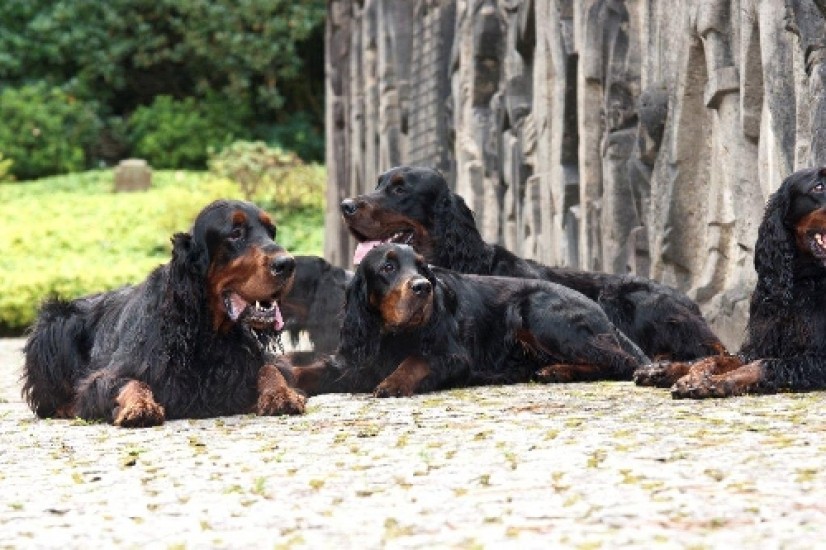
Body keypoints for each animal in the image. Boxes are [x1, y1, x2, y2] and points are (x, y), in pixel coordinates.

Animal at [22, 199, 306, 426]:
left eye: (272, 232)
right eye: (235, 233)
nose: (288, 264)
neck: (207, 332)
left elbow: (271, 368)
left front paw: (281, 395)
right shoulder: (107, 376)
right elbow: (129, 381)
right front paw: (139, 406)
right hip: (56, 322)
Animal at [277, 243, 649, 397]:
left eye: (423, 267)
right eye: (388, 267)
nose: (422, 288)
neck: (391, 333)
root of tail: (600, 310)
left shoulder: (453, 356)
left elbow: (417, 360)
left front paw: (394, 382)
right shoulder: (355, 360)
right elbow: (314, 370)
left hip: (536, 311)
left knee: (622, 361)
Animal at [634, 167, 826, 397]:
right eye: (818, 186)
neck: (801, 281)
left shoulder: (818, 358)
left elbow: (762, 365)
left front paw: (713, 382)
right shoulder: (761, 344)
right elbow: (720, 358)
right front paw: (678, 372)